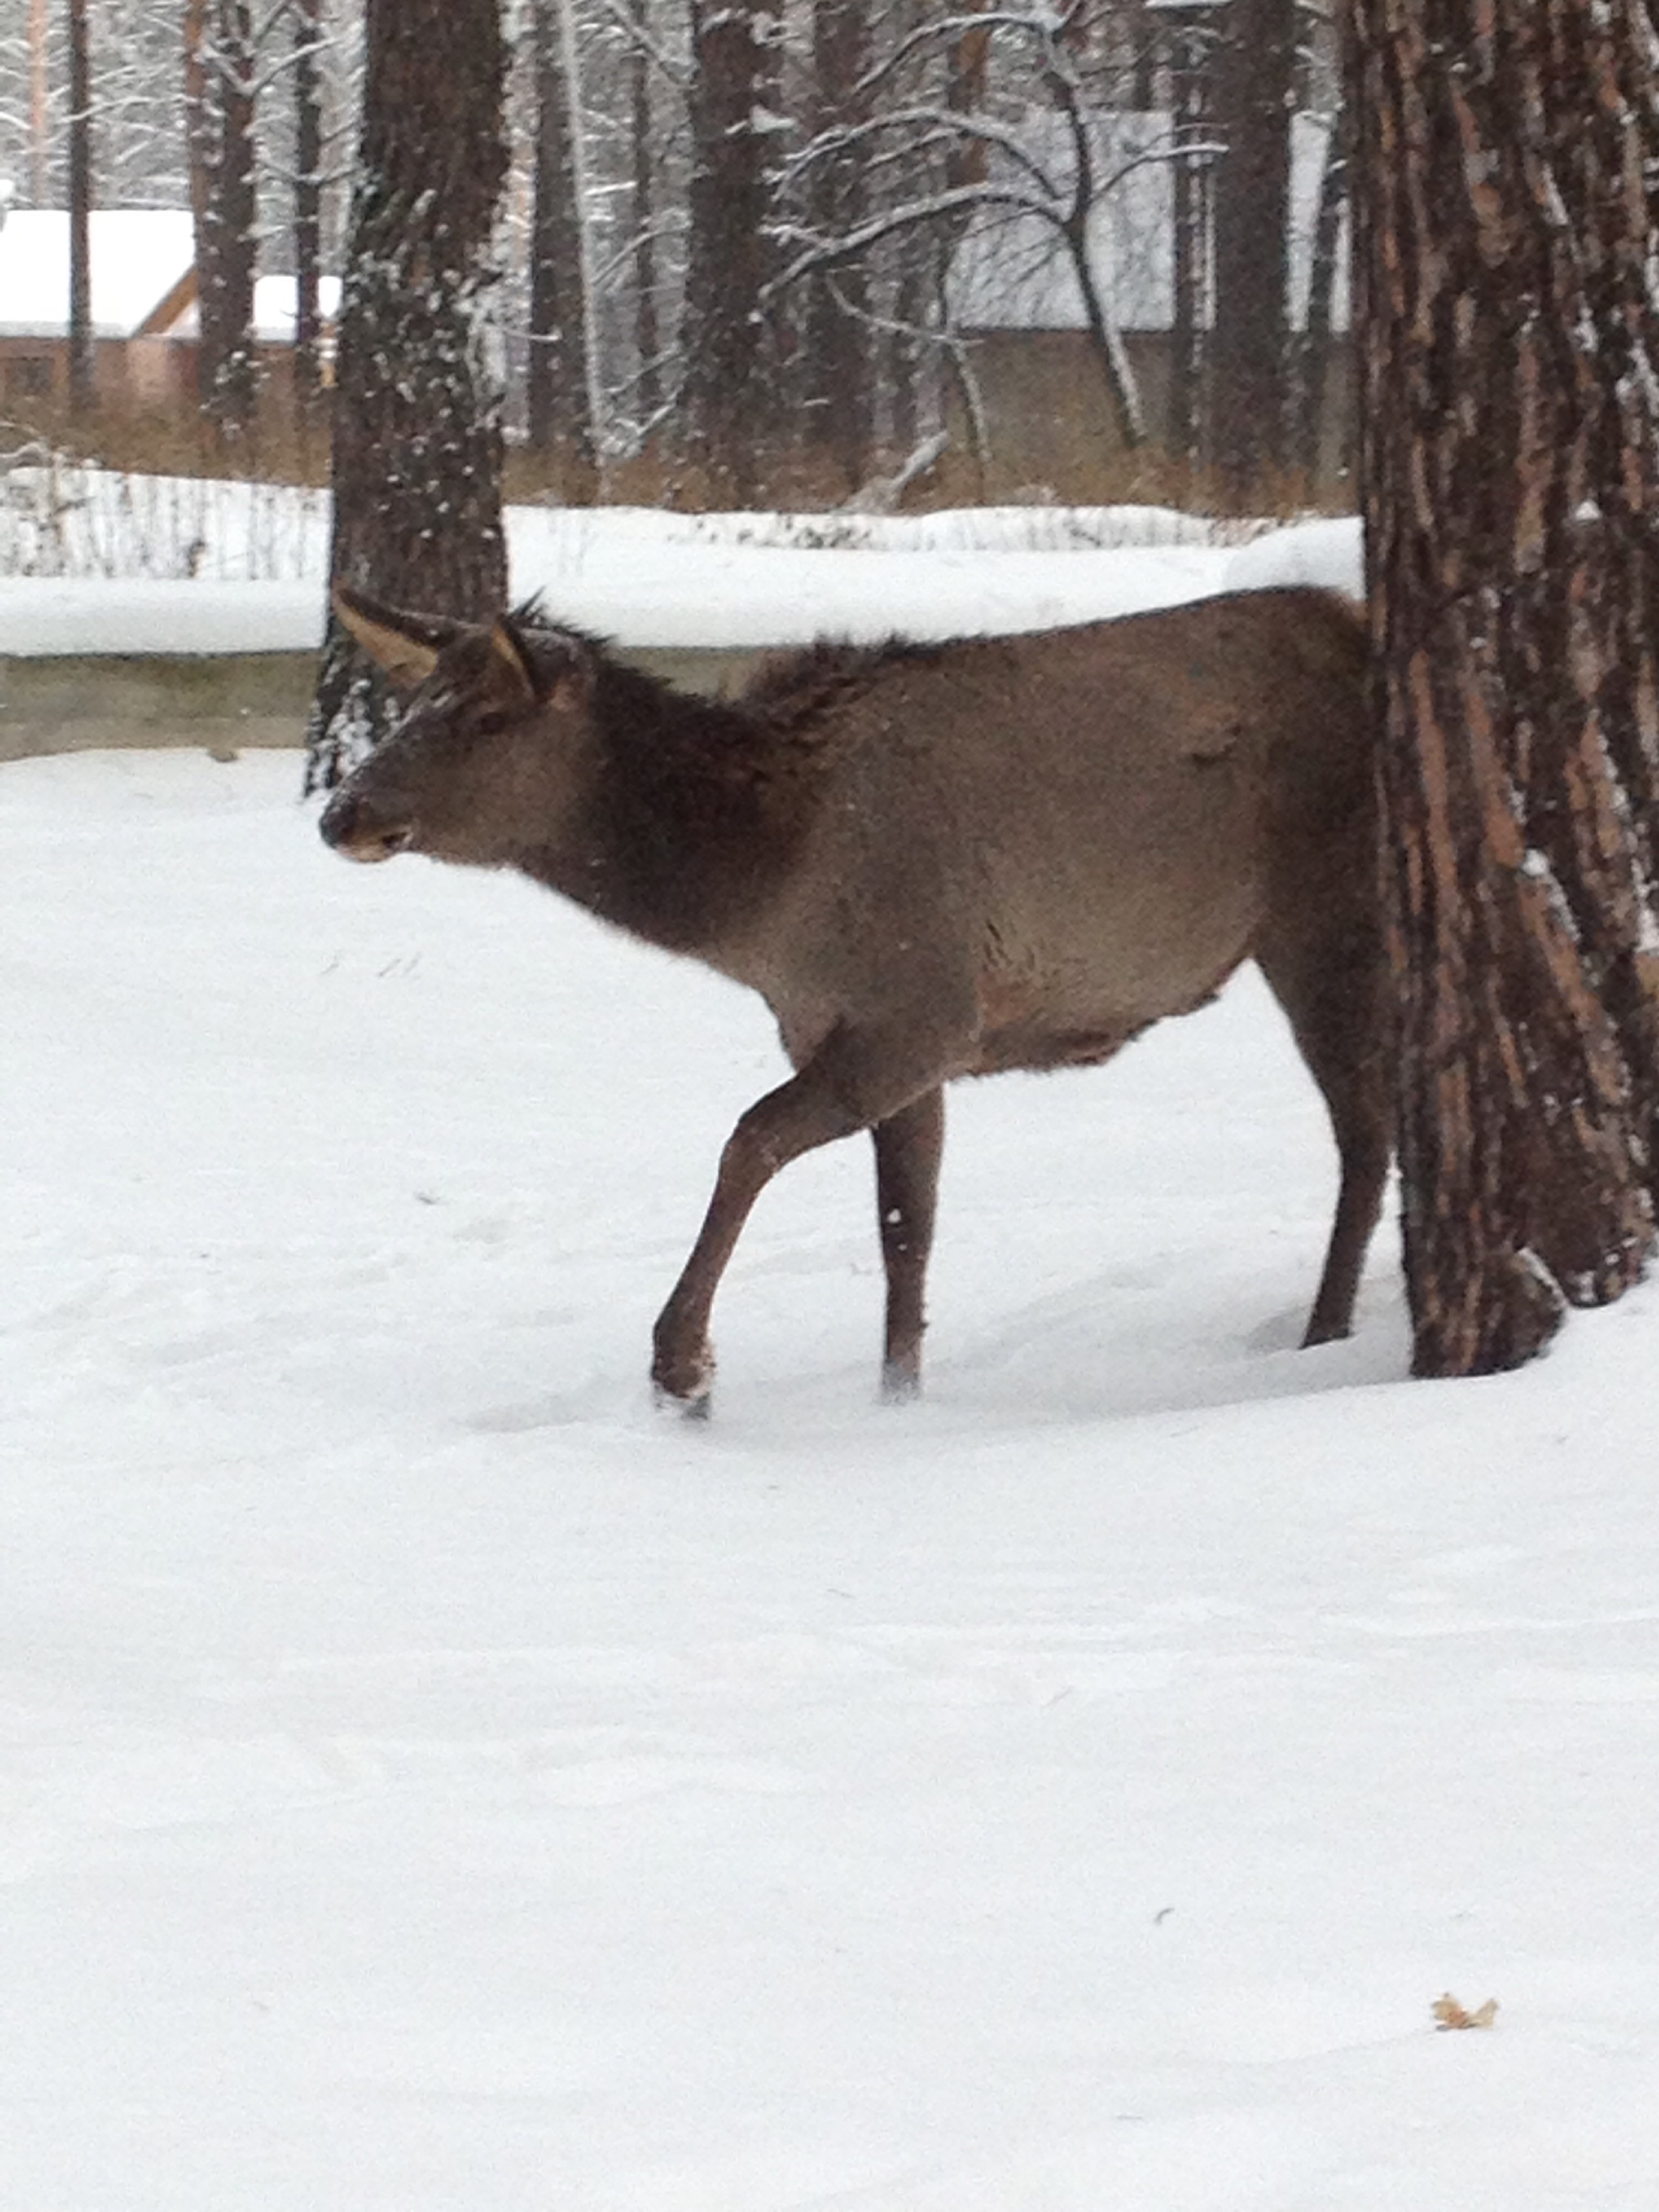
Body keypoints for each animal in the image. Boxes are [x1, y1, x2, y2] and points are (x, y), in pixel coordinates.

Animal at [325, 584, 1389, 1416]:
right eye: (415, 702)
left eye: (487, 720)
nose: (343, 812)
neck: (761, 898)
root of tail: (1358, 622)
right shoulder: (863, 1037)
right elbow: (905, 1231)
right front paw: (897, 1399)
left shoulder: (919, 1013)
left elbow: (749, 1141)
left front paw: (684, 1367)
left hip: (1324, 915)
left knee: (1365, 1136)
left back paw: (1324, 1333)